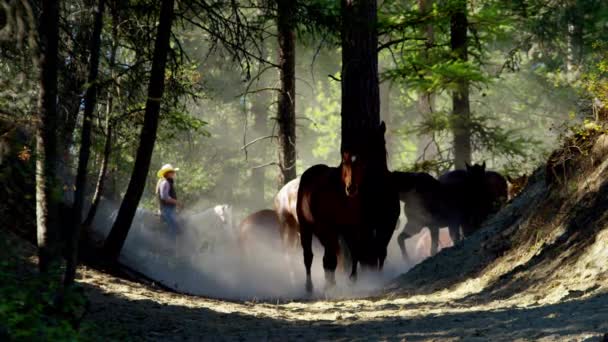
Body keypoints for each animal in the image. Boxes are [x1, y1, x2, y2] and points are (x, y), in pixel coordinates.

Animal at [296, 121, 402, 292]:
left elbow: (371, 252)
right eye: (344, 162)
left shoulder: (379, 226)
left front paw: (362, 279)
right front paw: (332, 286)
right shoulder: (339, 228)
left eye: (361, 161)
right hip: (307, 227)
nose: (351, 188)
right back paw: (310, 287)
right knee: (309, 256)